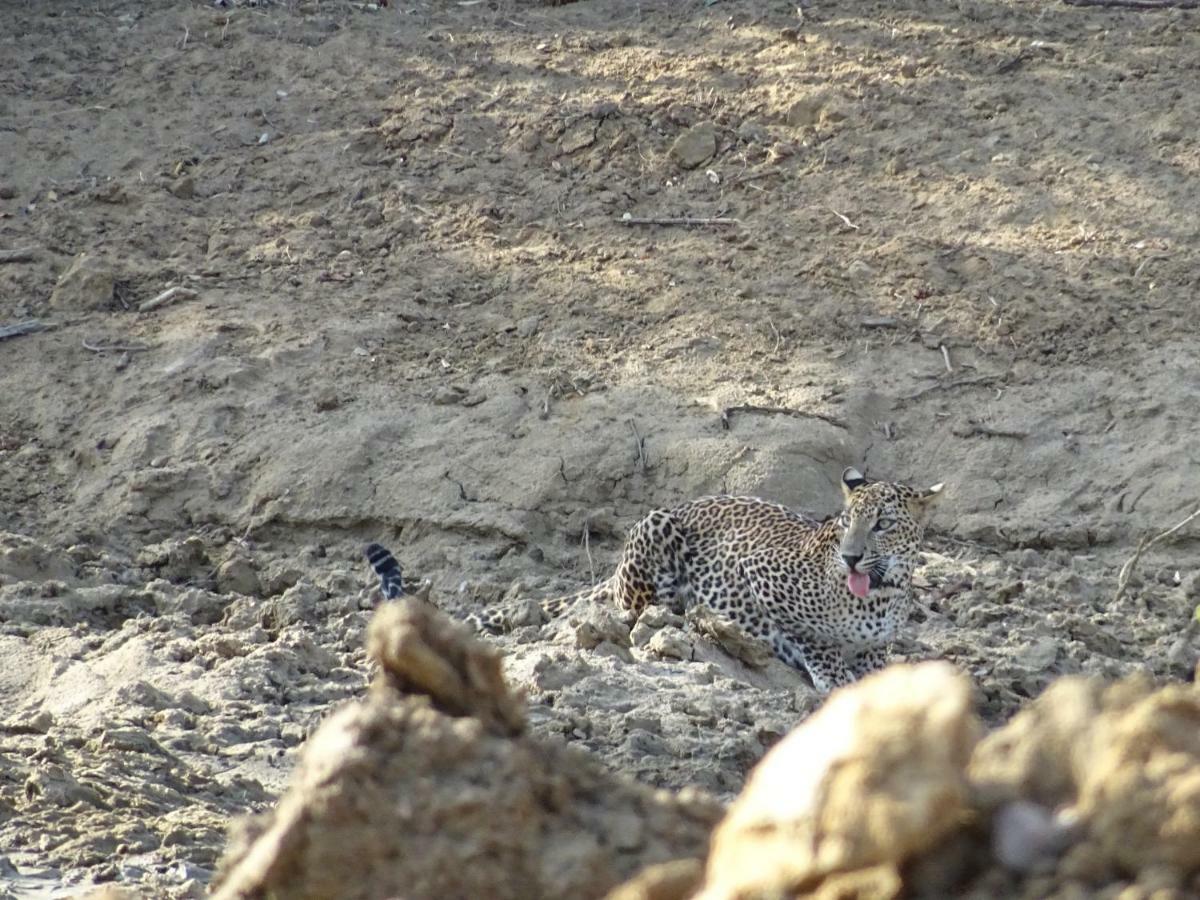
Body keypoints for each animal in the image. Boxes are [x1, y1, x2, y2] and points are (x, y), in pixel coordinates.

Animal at [360, 472, 940, 696]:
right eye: (847, 524)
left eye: (883, 524)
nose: (850, 557)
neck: (880, 595)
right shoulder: (759, 576)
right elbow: (815, 640)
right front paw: (833, 674)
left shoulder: (879, 638)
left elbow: (876, 660)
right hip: (653, 533)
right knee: (630, 613)